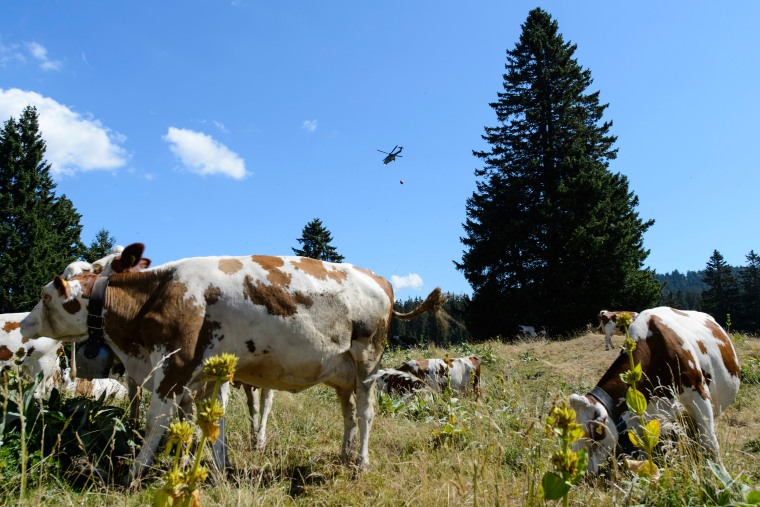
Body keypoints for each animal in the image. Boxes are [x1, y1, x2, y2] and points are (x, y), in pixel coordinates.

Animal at [20, 251, 446, 484]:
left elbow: (157, 423)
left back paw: (361, 462)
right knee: (348, 413)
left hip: (368, 362)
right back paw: (344, 455)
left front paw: (133, 475)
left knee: (366, 413)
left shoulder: (173, 366)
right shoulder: (203, 375)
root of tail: (379, 278)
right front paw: (211, 468)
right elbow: (208, 422)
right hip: (343, 372)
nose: (23, 324)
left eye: (46, 296)